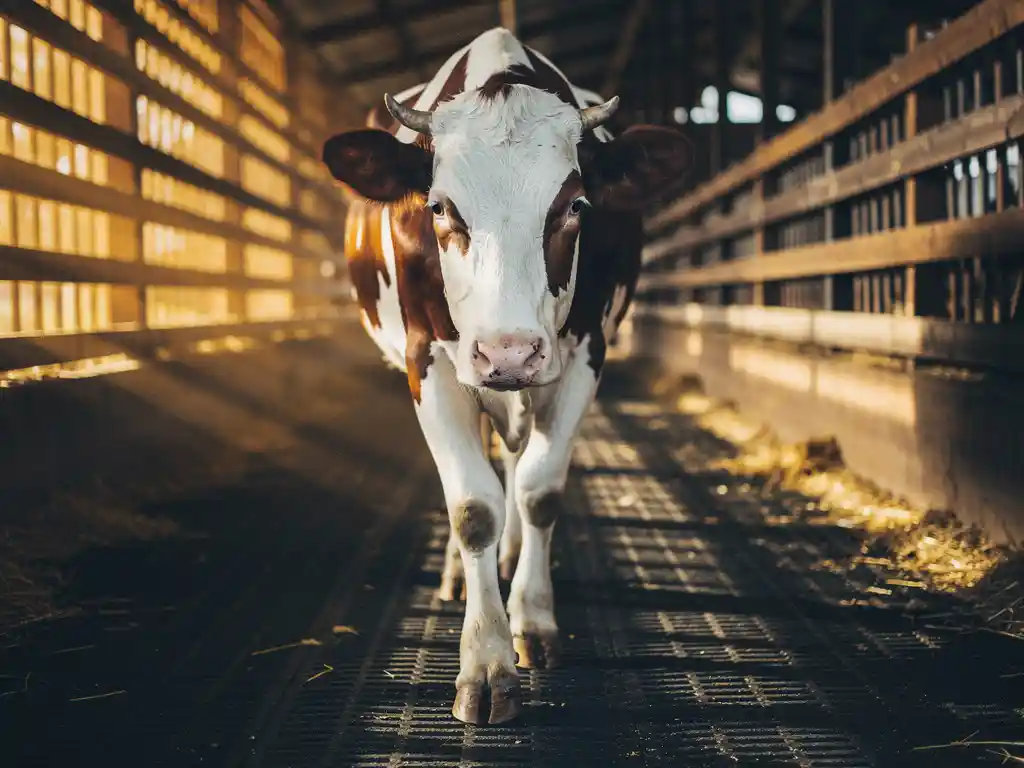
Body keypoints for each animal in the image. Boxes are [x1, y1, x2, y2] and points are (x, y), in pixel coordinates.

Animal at [322, 27, 690, 725]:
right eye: (440, 207)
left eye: (575, 204)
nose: (509, 353)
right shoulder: (428, 360)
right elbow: (472, 506)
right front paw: (486, 665)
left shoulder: (584, 353)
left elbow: (540, 491)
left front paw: (533, 621)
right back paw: (459, 573)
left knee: (516, 463)